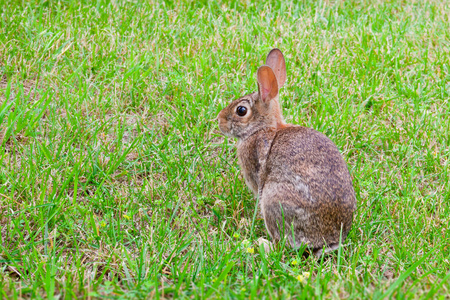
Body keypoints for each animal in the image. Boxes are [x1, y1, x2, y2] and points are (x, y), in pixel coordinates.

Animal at [216, 48, 356, 256]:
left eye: (241, 110)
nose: (219, 121)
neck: (262, 129)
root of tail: (329, 240)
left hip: (273, 198)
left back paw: (261, 243)